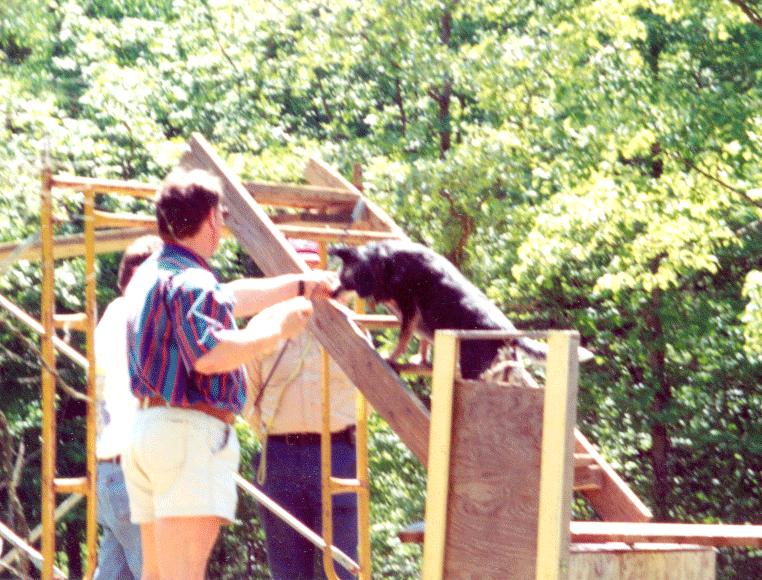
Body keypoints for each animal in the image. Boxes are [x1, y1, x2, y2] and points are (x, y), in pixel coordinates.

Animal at [329, 240, 592, 379]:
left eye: (343, 279)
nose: (331, 294)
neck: (384, 262)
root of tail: (509, 333)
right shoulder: (420, 318)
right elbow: (422, 341)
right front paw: (421, 359)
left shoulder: (410, 310)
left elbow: (403, 339)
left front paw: (391, 357)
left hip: (471, 369)